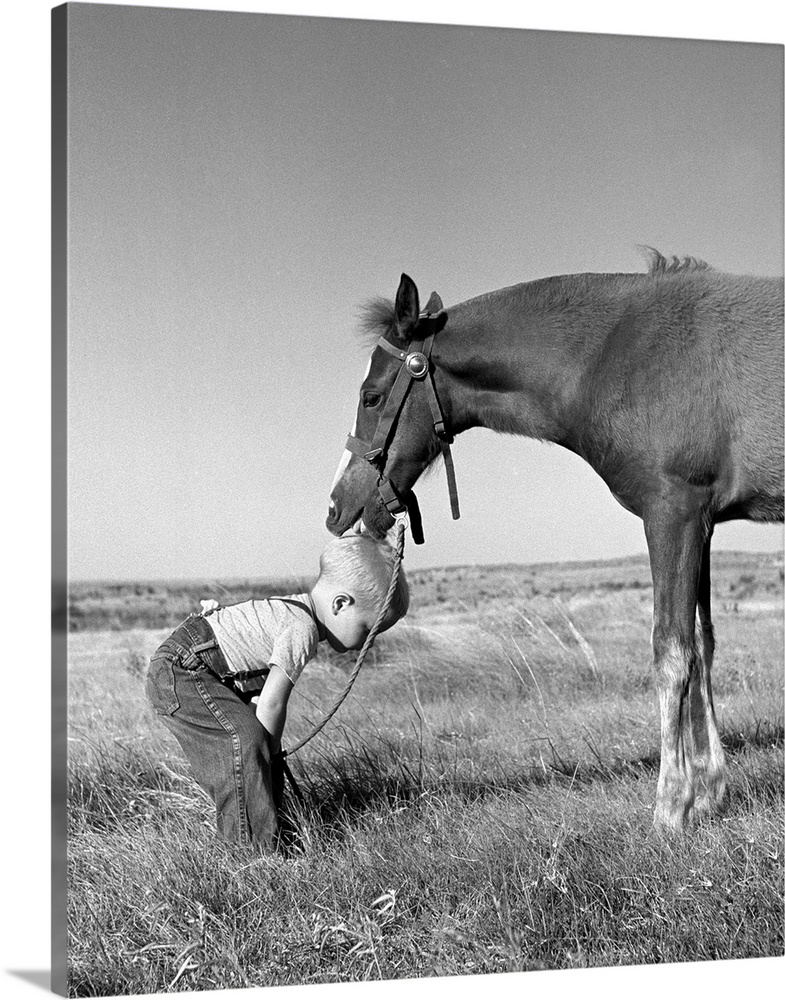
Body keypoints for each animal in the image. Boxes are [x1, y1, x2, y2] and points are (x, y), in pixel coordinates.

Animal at [324, 250, 776, 828]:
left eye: (371, 396)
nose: (337, 507)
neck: (614, 356)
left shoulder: (673, 514)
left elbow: (673, 653)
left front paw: (672, 805)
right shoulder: (703, 522)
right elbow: (704, 645)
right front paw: (712, 788)